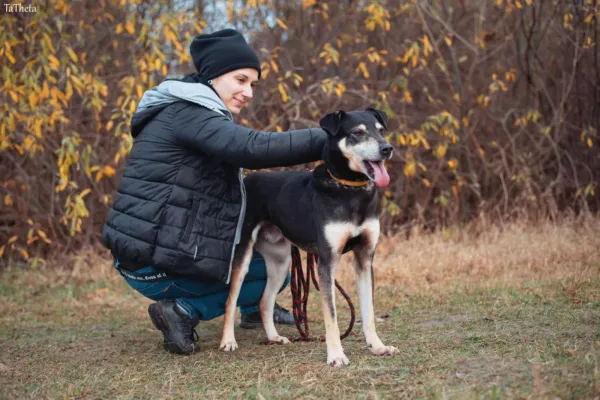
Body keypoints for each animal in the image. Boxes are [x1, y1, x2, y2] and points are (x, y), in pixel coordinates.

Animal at [219, 108, 398, 368]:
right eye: (357, 133)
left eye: (381, 130)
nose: (387, 148)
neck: (350, 190)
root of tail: (247, 180)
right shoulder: (327, 262)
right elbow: (331, 315)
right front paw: (336, 355)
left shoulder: (365, 259)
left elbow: (369, 312)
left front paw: (377, 346)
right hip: (243, 255)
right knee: (231, 299)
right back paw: (228, 341)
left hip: (281, 262)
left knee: (265, 301)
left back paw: (273, 337)